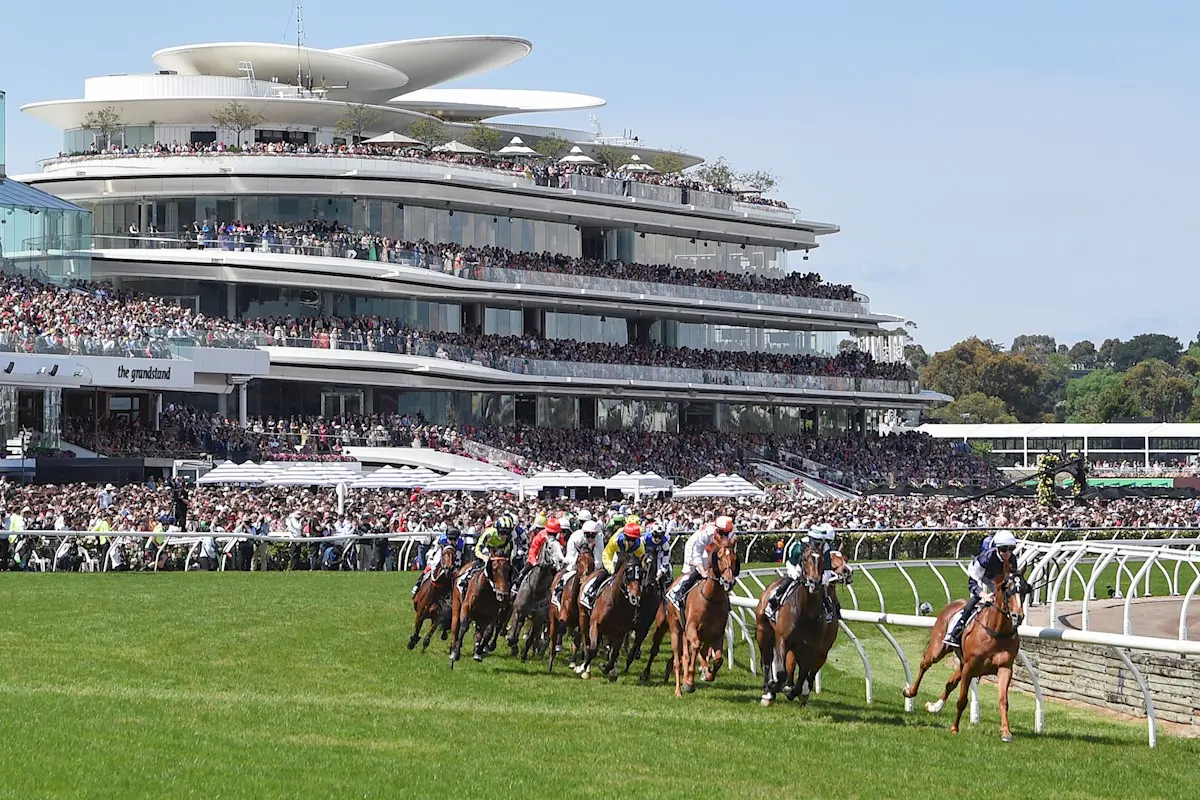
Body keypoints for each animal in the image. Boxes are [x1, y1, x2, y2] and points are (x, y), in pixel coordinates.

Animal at [643, 537, 734, 700]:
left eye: (735, 557)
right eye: (719, 557)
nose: (728, 582)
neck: (711, 597)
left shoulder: (717, 633)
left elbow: (717, 658)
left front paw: (707, 673)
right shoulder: (691, 629)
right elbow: (695, 650)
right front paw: (689, 682)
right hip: (671, 627)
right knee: (668, 655)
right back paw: (676, 688)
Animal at [902, 566, 1027, 743]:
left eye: (1024, 589)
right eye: (1006, 588)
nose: (1018, 616)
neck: (996, 632)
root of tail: (953, 604)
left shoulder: (1005, 667)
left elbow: (1003, 700)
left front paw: (1006, 732)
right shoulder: (969, 667)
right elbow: (962, 700)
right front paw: (954, 728)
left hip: (961, 664)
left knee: (950, 683)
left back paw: (934, 707)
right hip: (938, 650)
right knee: (925, 664)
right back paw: (910, 692)